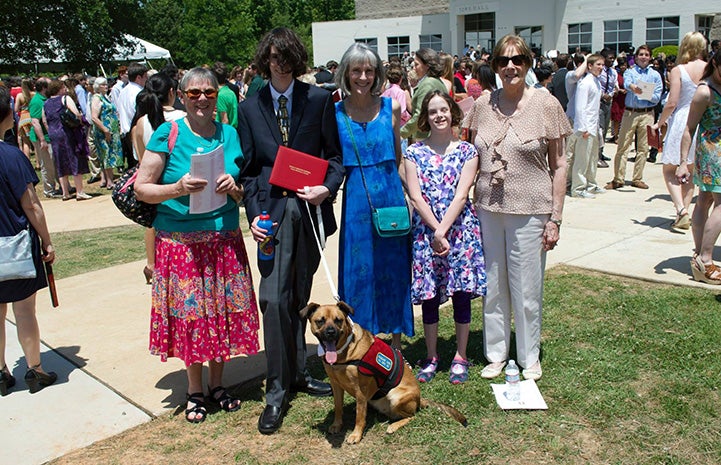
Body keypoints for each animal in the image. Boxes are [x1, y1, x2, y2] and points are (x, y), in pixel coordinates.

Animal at [300, 300, 464, 442]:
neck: (343, 353)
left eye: (338, 320)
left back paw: (393, 425)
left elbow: (360, 417)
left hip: (395, 397)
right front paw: (336, 425)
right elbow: (338, 407)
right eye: (320, 321)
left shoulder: (360, 389)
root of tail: (419, 399)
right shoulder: (335, 385)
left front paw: (356, 435)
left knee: (412, 415)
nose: (330, 332)